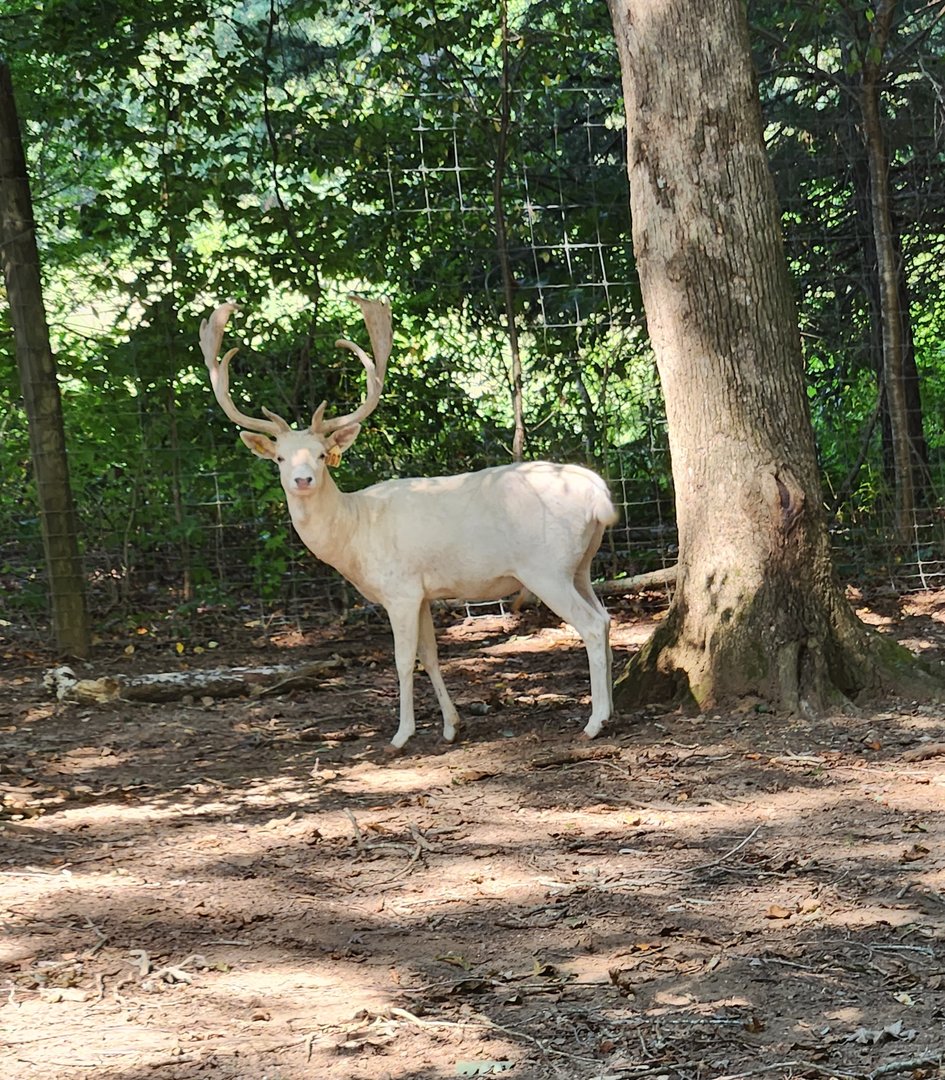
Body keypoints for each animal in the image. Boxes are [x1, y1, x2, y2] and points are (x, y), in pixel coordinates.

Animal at [200, 297, 618, 750]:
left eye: (321, 454)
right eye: (280, 458)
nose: (303, 479)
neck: (354, 536)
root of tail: (598, 492)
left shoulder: (399, 589)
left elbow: (402, 660)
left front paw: (401, 735)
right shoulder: (423, 592)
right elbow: (430, 655)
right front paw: (452, 726)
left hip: (545, 567)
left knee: (591, 625)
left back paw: (595, 721)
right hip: (580, 564)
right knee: (606, 618)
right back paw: (612, 711)